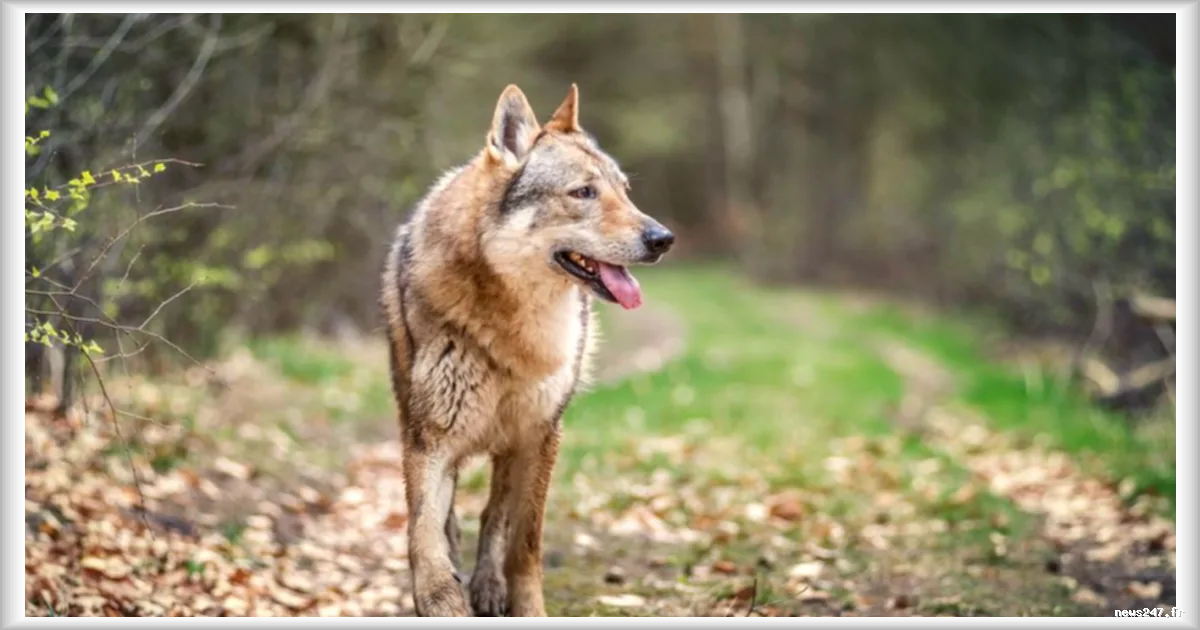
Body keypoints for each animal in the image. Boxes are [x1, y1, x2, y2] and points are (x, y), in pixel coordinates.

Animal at [378, 83, 675, 617]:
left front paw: (520, 600)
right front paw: (441, 598)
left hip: (513, 440)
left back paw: (488, 585)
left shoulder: (541, 435)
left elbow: (525, 542)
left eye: (624, 190)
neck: (514, 327)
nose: (663, 239)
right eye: (583, 192)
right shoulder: (430, 437)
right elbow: (423, 531)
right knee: (453, 517)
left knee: (495, 512)